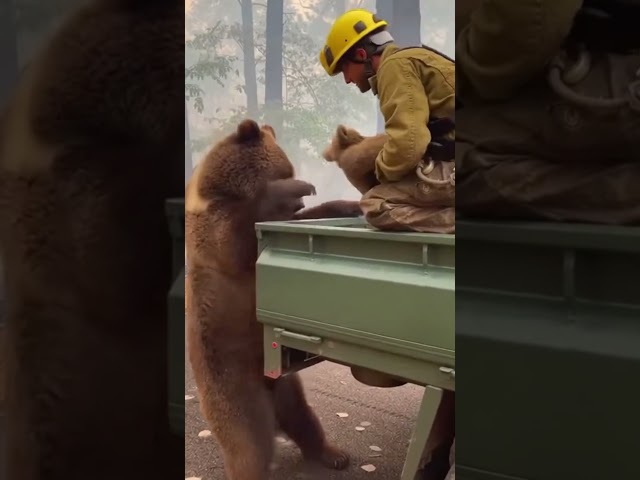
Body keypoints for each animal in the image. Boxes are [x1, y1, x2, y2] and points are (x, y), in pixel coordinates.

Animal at [185, 119, 353, 480]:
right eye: (286, 170)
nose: (300, 199)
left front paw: (349, 205)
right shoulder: (215, 231)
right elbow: (239, 235)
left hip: (288, 389)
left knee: (304, 419)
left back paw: (334, 454)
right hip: (234, 391)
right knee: (249, 446)